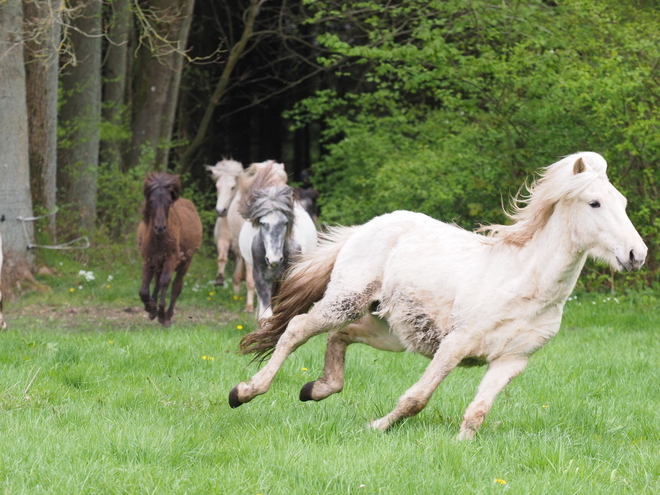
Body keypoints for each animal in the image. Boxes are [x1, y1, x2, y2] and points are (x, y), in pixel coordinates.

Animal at [138, 172, 202, 328]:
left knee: (176, 286)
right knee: (157, 280)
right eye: (151, 201)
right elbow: (144, 289)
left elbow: (165, 282)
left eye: (168, 202)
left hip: (185, 262)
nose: (160, 227)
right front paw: (151, 308)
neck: (159, 238)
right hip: (159, 262)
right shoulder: (148, 259)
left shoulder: (171, 259)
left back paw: (168, 315)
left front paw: (161, 314)